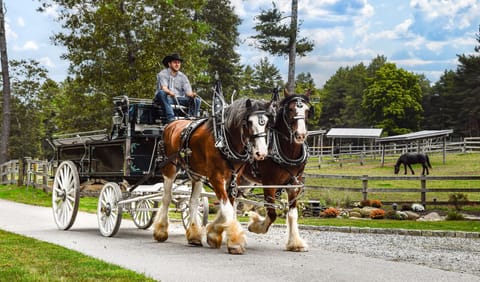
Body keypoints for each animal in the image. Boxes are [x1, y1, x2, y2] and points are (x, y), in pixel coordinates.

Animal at [154, 98, 274, 254]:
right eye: (249, 122)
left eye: (266, 123)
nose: (261, 153)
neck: (224, 140)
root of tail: (171, 124)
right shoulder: (215, 178)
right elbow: (227, 208)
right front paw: (235, 242)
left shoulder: (233, 179)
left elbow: (228, 207)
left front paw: (214, 234)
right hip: (170, 168)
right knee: (166, 198)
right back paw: (161, 231)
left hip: (196, 173)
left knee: (193, 202)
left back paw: (194, 235)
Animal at [242, 90, 314, 251]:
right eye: (290, 109)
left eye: (307, 110)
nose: (300, 135)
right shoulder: (269, 183)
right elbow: (271, 213)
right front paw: (255, 226)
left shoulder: (294, 184)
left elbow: (292, 214)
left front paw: (295, 243)